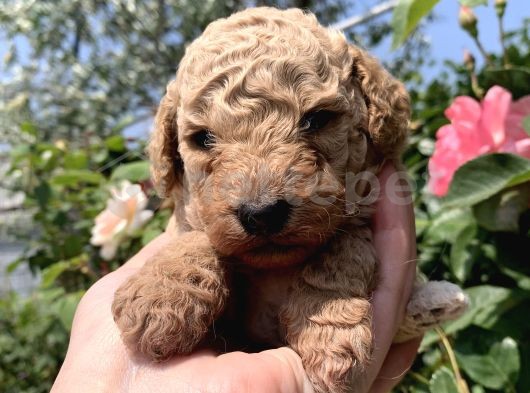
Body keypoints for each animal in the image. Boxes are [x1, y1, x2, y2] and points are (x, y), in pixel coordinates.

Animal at [112, 6, 466, 392]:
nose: (262, 213)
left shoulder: (362, 211)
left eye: (317, 119)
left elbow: (340, 253)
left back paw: (437, 301)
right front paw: (161, 298)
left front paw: (328, 333)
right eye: (202, 138)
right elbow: (194, 238)